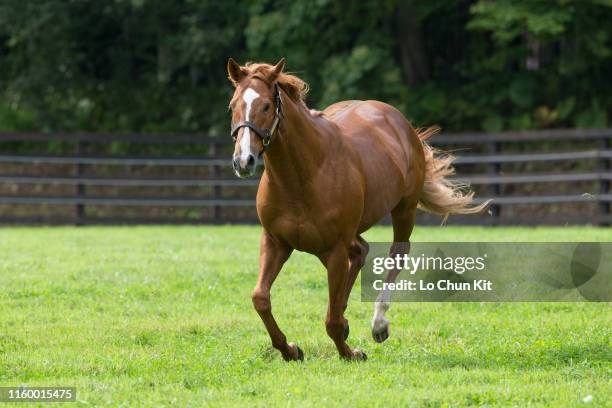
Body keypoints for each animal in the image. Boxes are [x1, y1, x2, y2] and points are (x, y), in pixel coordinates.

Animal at [227, 57, 486, 360]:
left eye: (266, 106)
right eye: (232, 105)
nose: (243, 161)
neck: (304, 175)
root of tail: (397, 120)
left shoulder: (334, 249)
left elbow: (331, 321)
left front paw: (350, 353)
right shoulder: (276, 242)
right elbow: (260, 298)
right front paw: (290, 349)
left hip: (404, 209)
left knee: (397, 254)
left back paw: (379, 323)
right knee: (360, 252)